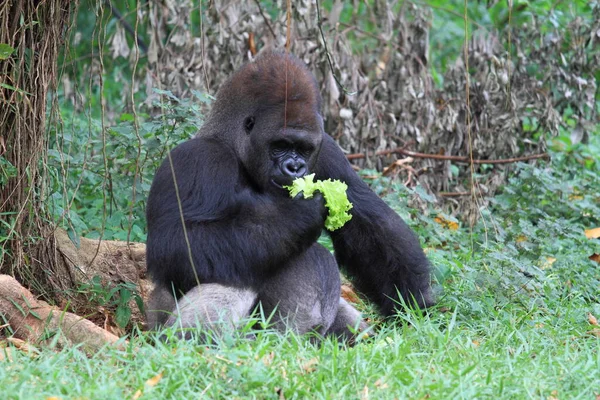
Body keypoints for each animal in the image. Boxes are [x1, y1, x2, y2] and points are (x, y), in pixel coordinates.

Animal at [146, 50, 436, 340]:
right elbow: (178, 246)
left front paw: (416, 304)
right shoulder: (196, 160)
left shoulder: (328, 151)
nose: (295, 167)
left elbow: (369, 229)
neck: (232, 144)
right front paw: (297, 213)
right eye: (280, 145)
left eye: (304, 148)